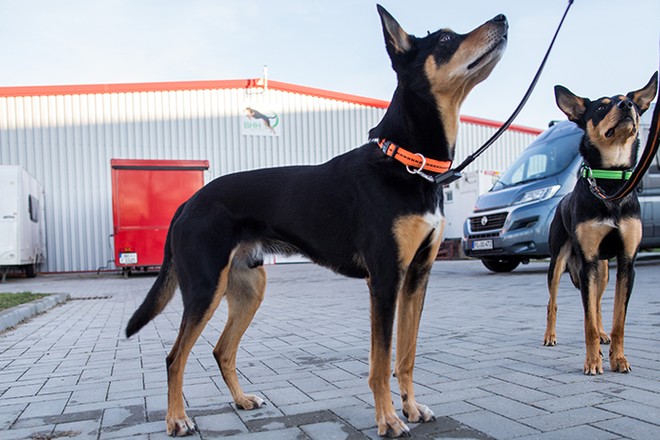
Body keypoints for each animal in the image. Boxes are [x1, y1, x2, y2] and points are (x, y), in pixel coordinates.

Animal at [126, 5, 508, 438]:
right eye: (444, 40)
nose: (502, 18)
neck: (408, 163)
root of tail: (188, 203)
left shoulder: (417, 277)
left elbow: (405, 357)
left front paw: (410, 408)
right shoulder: (385, 280)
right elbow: (381, 363)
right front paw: (388, 419)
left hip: (248, 288)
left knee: (222, 349)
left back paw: (242, 400)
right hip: (206, 288)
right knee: (175, 357)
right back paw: (176, 418)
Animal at [544, 72, 656, 374]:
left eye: (630, 102)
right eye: (602, 108)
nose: (627, 106)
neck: (610, 183)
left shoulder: (626, 261)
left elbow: (618, 319)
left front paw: (619, 358)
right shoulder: (588, 261)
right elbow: (587, 322)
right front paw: (593, 361)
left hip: (603, 270)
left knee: (596, 305)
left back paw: (604, 335)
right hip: (558, 262)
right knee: (553, 303)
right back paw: (550, 336)